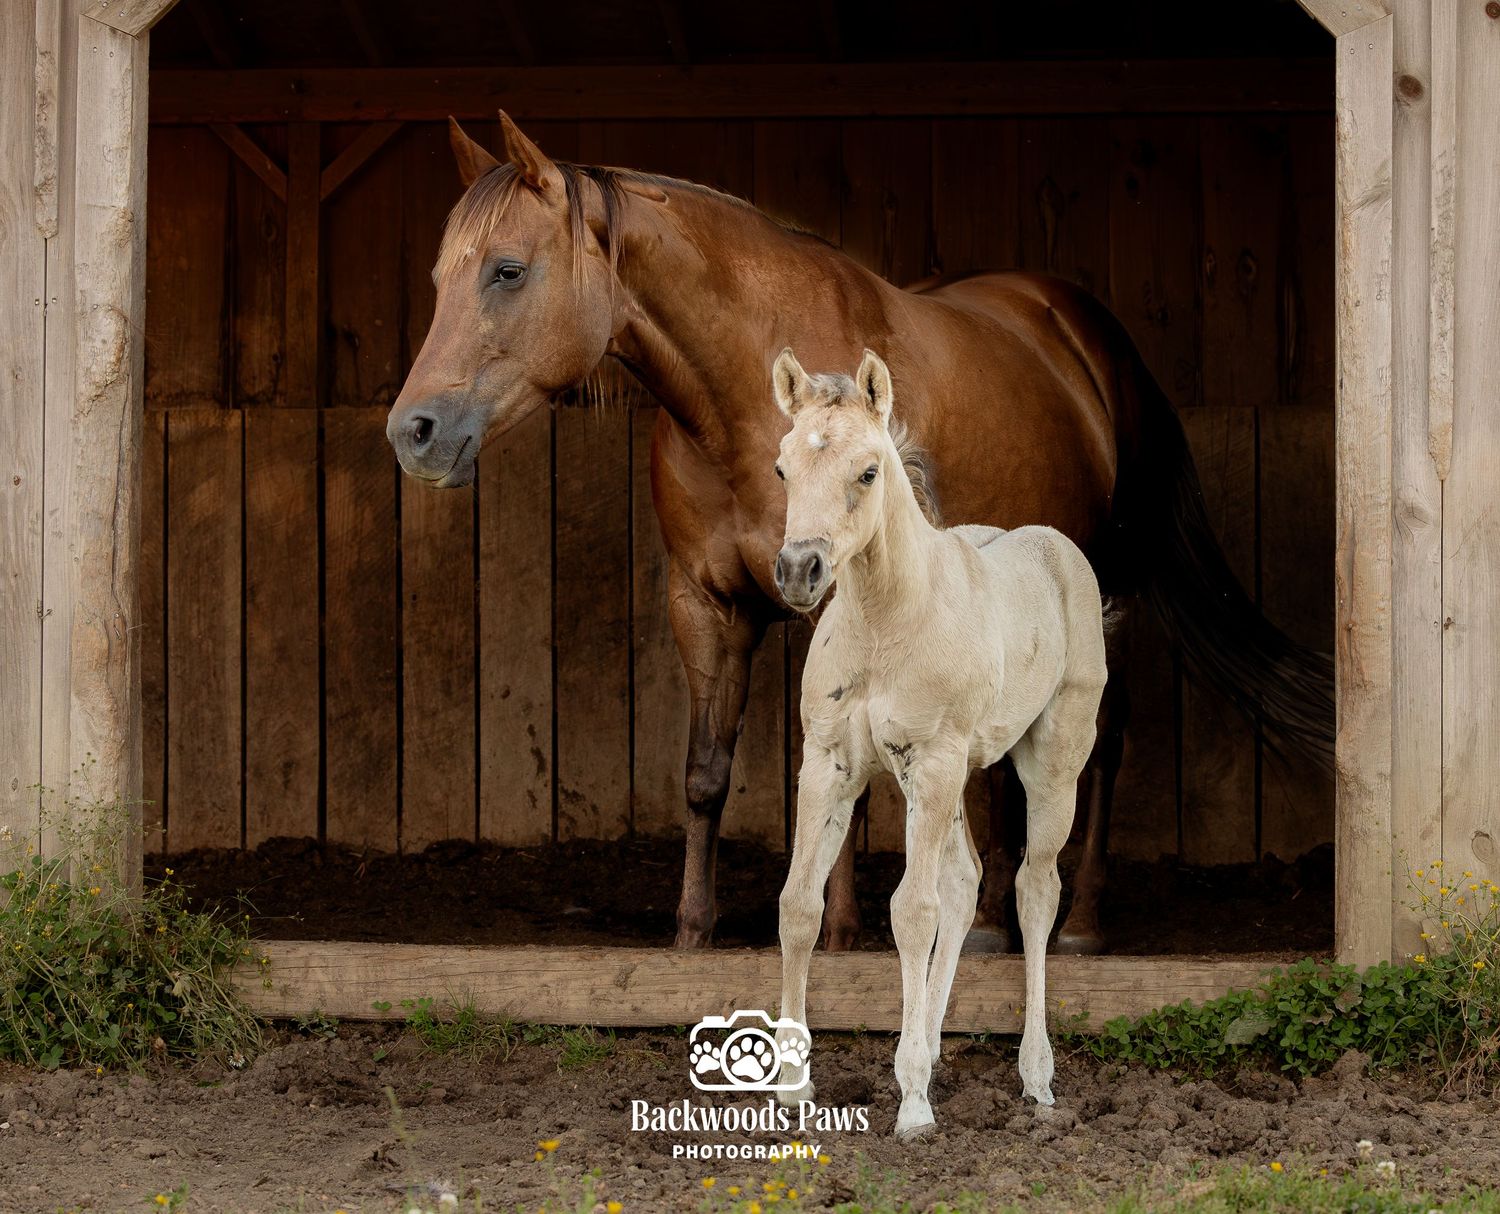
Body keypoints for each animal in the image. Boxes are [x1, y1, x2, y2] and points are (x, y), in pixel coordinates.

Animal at [387, 113, 1332, 954]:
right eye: (435, 278)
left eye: (508, 270)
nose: (413, 432)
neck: (748, 398)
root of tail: (1095, 344)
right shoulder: (705, 603)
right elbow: (705, 772)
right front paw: (693, 931)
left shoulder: (843, 602)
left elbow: (848, 771)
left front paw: (836, 930)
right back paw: (990, 919)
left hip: (1103, 599)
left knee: (1101, 744)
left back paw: (1080, 922)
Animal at [770, 348, 1107, 1133]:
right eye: (782, 468)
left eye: (867, 472)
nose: (799, 571)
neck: (884, 622)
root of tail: (1060, 551)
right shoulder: (830, 763)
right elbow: (800, 906)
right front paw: (794, 1088)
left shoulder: (933, 760)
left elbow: (910, 911)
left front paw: (915, 1105)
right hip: (947, 778)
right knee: (963, 882)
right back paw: (926, 1050)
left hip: (1050, 761)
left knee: (1033, 888)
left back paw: (1036, 1077)